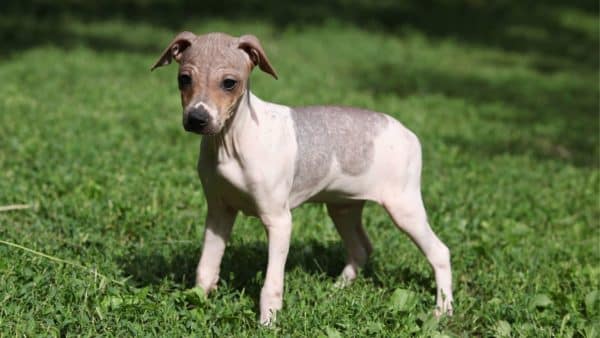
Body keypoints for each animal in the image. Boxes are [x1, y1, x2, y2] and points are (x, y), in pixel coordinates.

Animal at [151, 31, 454, 324]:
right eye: (184, 79)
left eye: (229, 83)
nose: (197, 118)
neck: (230, 142)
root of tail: (409, 134)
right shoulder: (218, 211)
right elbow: (206, 267)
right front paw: (198, 303)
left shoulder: (279, 220)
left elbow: (272, 284)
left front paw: (268, 323)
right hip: (342, 208)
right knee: (361, 248)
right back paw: (337, 289)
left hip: (404, 209)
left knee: (440, 252)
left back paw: (443, 310)